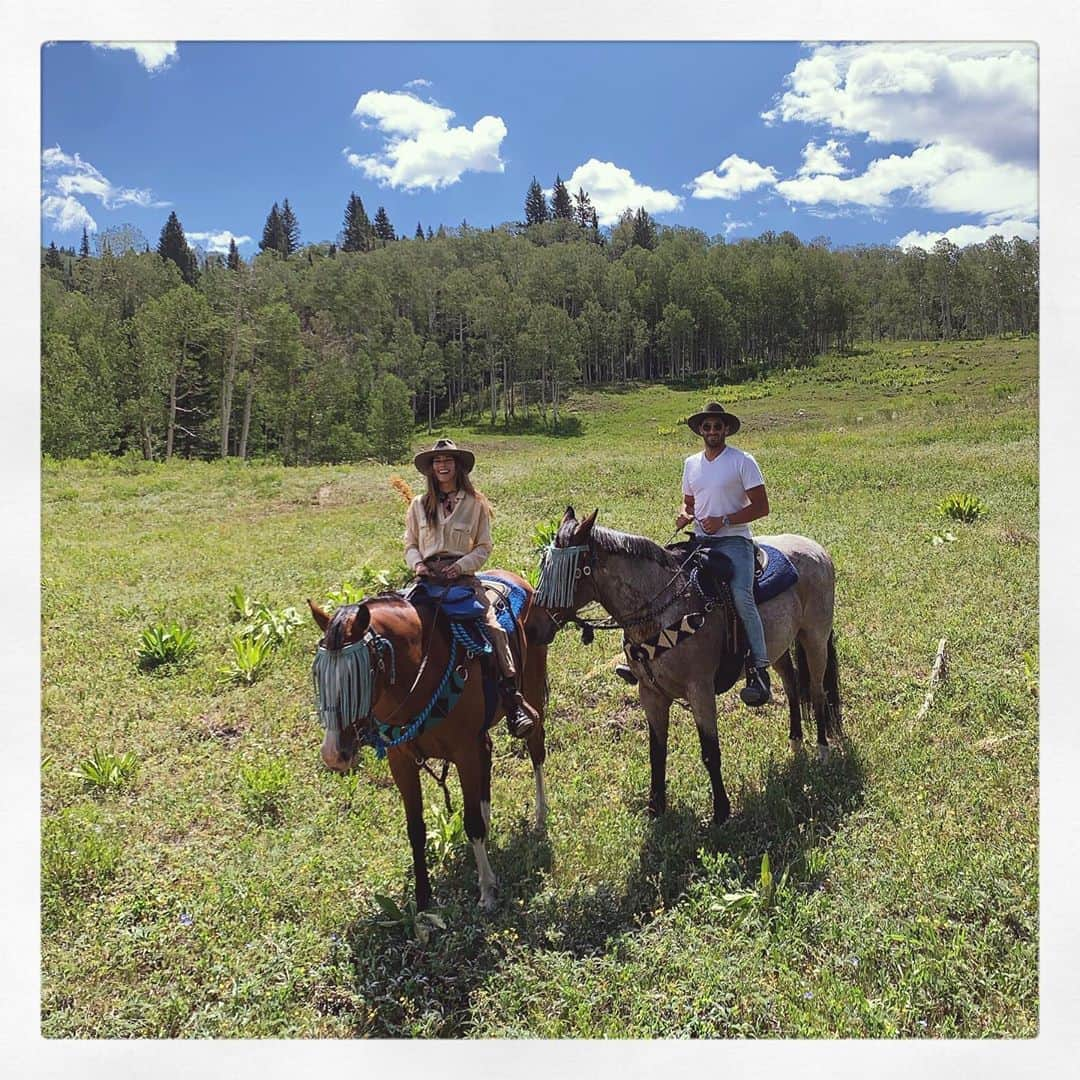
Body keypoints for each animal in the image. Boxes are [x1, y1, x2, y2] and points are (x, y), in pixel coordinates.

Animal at [308, 574, 552, 911]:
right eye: (319, 674)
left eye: (359, 674)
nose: (333, 755)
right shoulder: (401, 761)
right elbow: (416, 829)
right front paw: (423, 897)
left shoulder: (464, 752)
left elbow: (472, 823)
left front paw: (487, 890)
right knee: (488, 758)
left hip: (531, 690)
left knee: (536, 749)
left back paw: (540, 816)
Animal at [535, 509, 838, 820]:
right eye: (545, 566)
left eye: (568, 572)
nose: (535, 625)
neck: (663, 609)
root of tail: (817, 549)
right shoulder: (651, 694)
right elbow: (657, 752)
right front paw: (656, 807)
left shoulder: (700, 690)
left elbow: (710, 751)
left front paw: (721, 811)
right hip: (778, 646)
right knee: (791, 684)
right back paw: (796, 742)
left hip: (815, 638)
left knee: (817, 692)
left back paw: (822, 751)